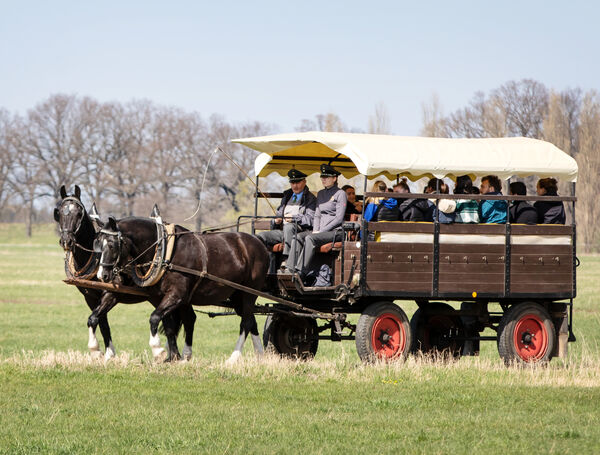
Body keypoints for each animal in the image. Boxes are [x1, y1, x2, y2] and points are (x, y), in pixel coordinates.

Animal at [54, 187, 192, 362]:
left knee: (184, 319)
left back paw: (178, 355)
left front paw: (99, 351)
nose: (67, 240)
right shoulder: (90, 298)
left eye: (79, 213)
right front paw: (107, 353)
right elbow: (100, 322)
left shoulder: (112, 294)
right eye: (59, 212)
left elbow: (95, 319)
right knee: (171, 321)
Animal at [91, 216, 270, 364]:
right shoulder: (162, 297)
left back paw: (234, 358)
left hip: (249, 293)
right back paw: (260, 356)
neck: (165, 253)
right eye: (97, 244)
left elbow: (154, 318)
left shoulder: (177, 295)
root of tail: (259, 242)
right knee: (250, 320)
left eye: (112, 245)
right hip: (236, 295)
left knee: (246, 322)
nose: (102, 275)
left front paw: (158, 351)